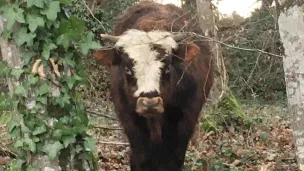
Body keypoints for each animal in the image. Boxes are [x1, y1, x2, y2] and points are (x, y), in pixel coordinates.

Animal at [92, 1, 214, 171]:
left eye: (168, 67)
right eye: (127, 69)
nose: (150, 103)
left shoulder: (186, 121)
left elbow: (174, 158)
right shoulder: (130, 121)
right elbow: (140, 157)